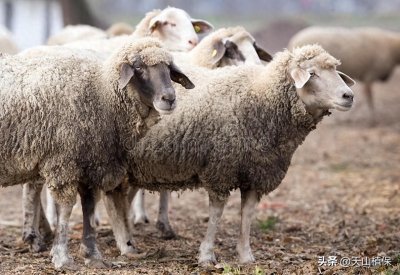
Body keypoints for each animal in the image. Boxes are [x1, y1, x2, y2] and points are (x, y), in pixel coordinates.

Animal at [0, 37, 194, 270]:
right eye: (139, 67)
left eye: (168, 68)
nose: (169, 98)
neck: (101, 94)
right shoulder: (63, 162)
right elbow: (66, 209)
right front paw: (62, 257)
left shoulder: (92, 163)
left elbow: (90, 208)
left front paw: (92, 254)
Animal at [122, 45, 354, 268]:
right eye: (312, 73)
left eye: (335, 70)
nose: (349, 96)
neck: (259, 96)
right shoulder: (220, 169)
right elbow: (216, 214)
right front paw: (206, 256)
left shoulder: (256, 174)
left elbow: (247, 215)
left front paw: (245, 255)